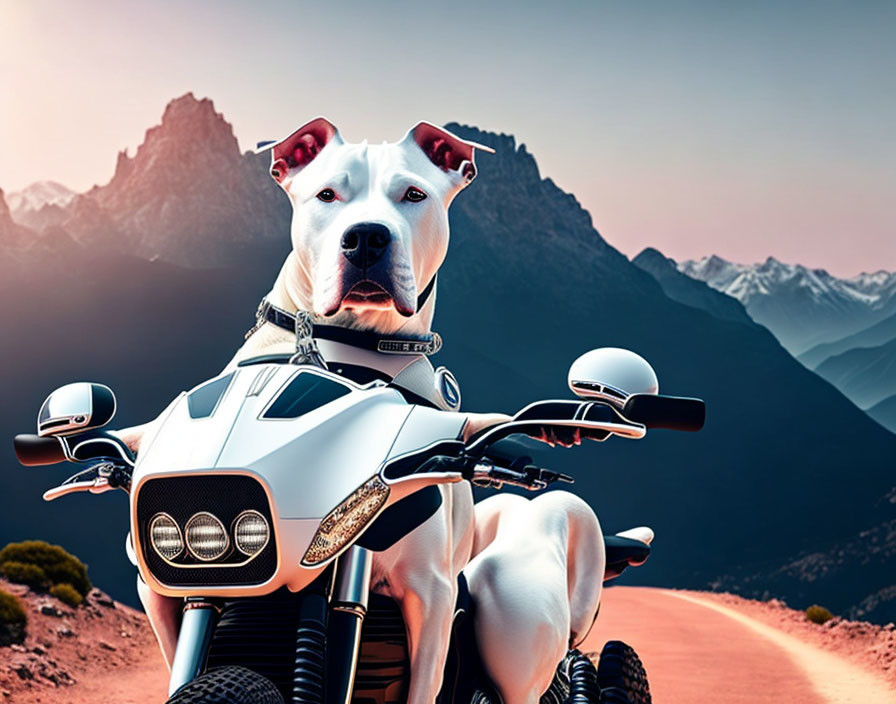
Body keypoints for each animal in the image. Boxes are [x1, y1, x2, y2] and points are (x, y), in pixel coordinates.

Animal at [130, 118, 604, 700]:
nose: (366, 238)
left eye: (414, 195)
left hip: (514, 614)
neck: (345, 349)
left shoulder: (430, 596)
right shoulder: (172, 597)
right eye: (327, 194)